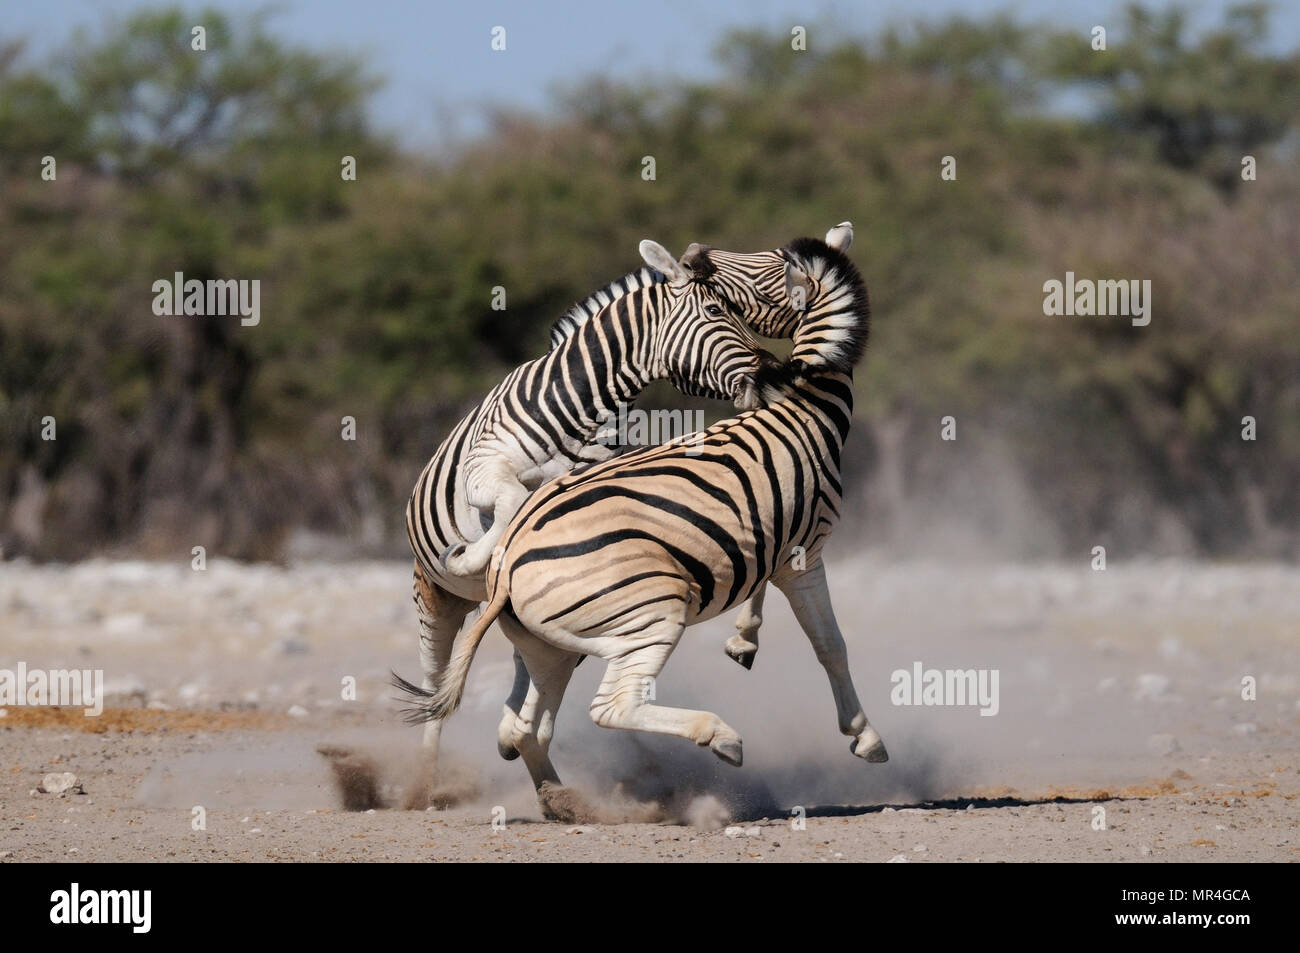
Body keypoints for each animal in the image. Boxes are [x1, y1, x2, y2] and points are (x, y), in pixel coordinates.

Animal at [392, 224, 883, 816]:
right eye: (718, 308)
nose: (772, 376)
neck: (578, 412)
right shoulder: (489, 469)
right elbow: (508, 504)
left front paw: (745, 638)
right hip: (443, 600)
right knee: (439, 683)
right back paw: (427, 783)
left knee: (527, 680)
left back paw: (536, 762)